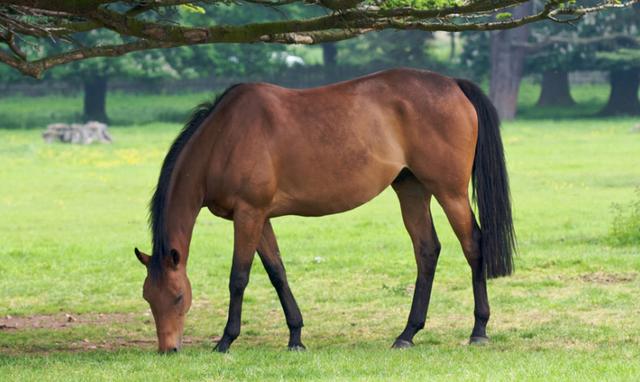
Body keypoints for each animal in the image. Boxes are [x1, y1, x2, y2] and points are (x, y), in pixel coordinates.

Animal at [134, 68, 516, 352]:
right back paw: (407, 334)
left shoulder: (248, 215)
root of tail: (452, 84)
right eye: (147, 297)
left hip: (450, 192)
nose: (168, 349)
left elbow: (239, 277)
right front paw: (295, 336)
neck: (224, 138)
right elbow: (277, 272)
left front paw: (226, 340)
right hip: (411, 188)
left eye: (178, 296)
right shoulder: (261, 218)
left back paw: (479, 330)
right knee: (427, 250)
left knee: (473, 245)